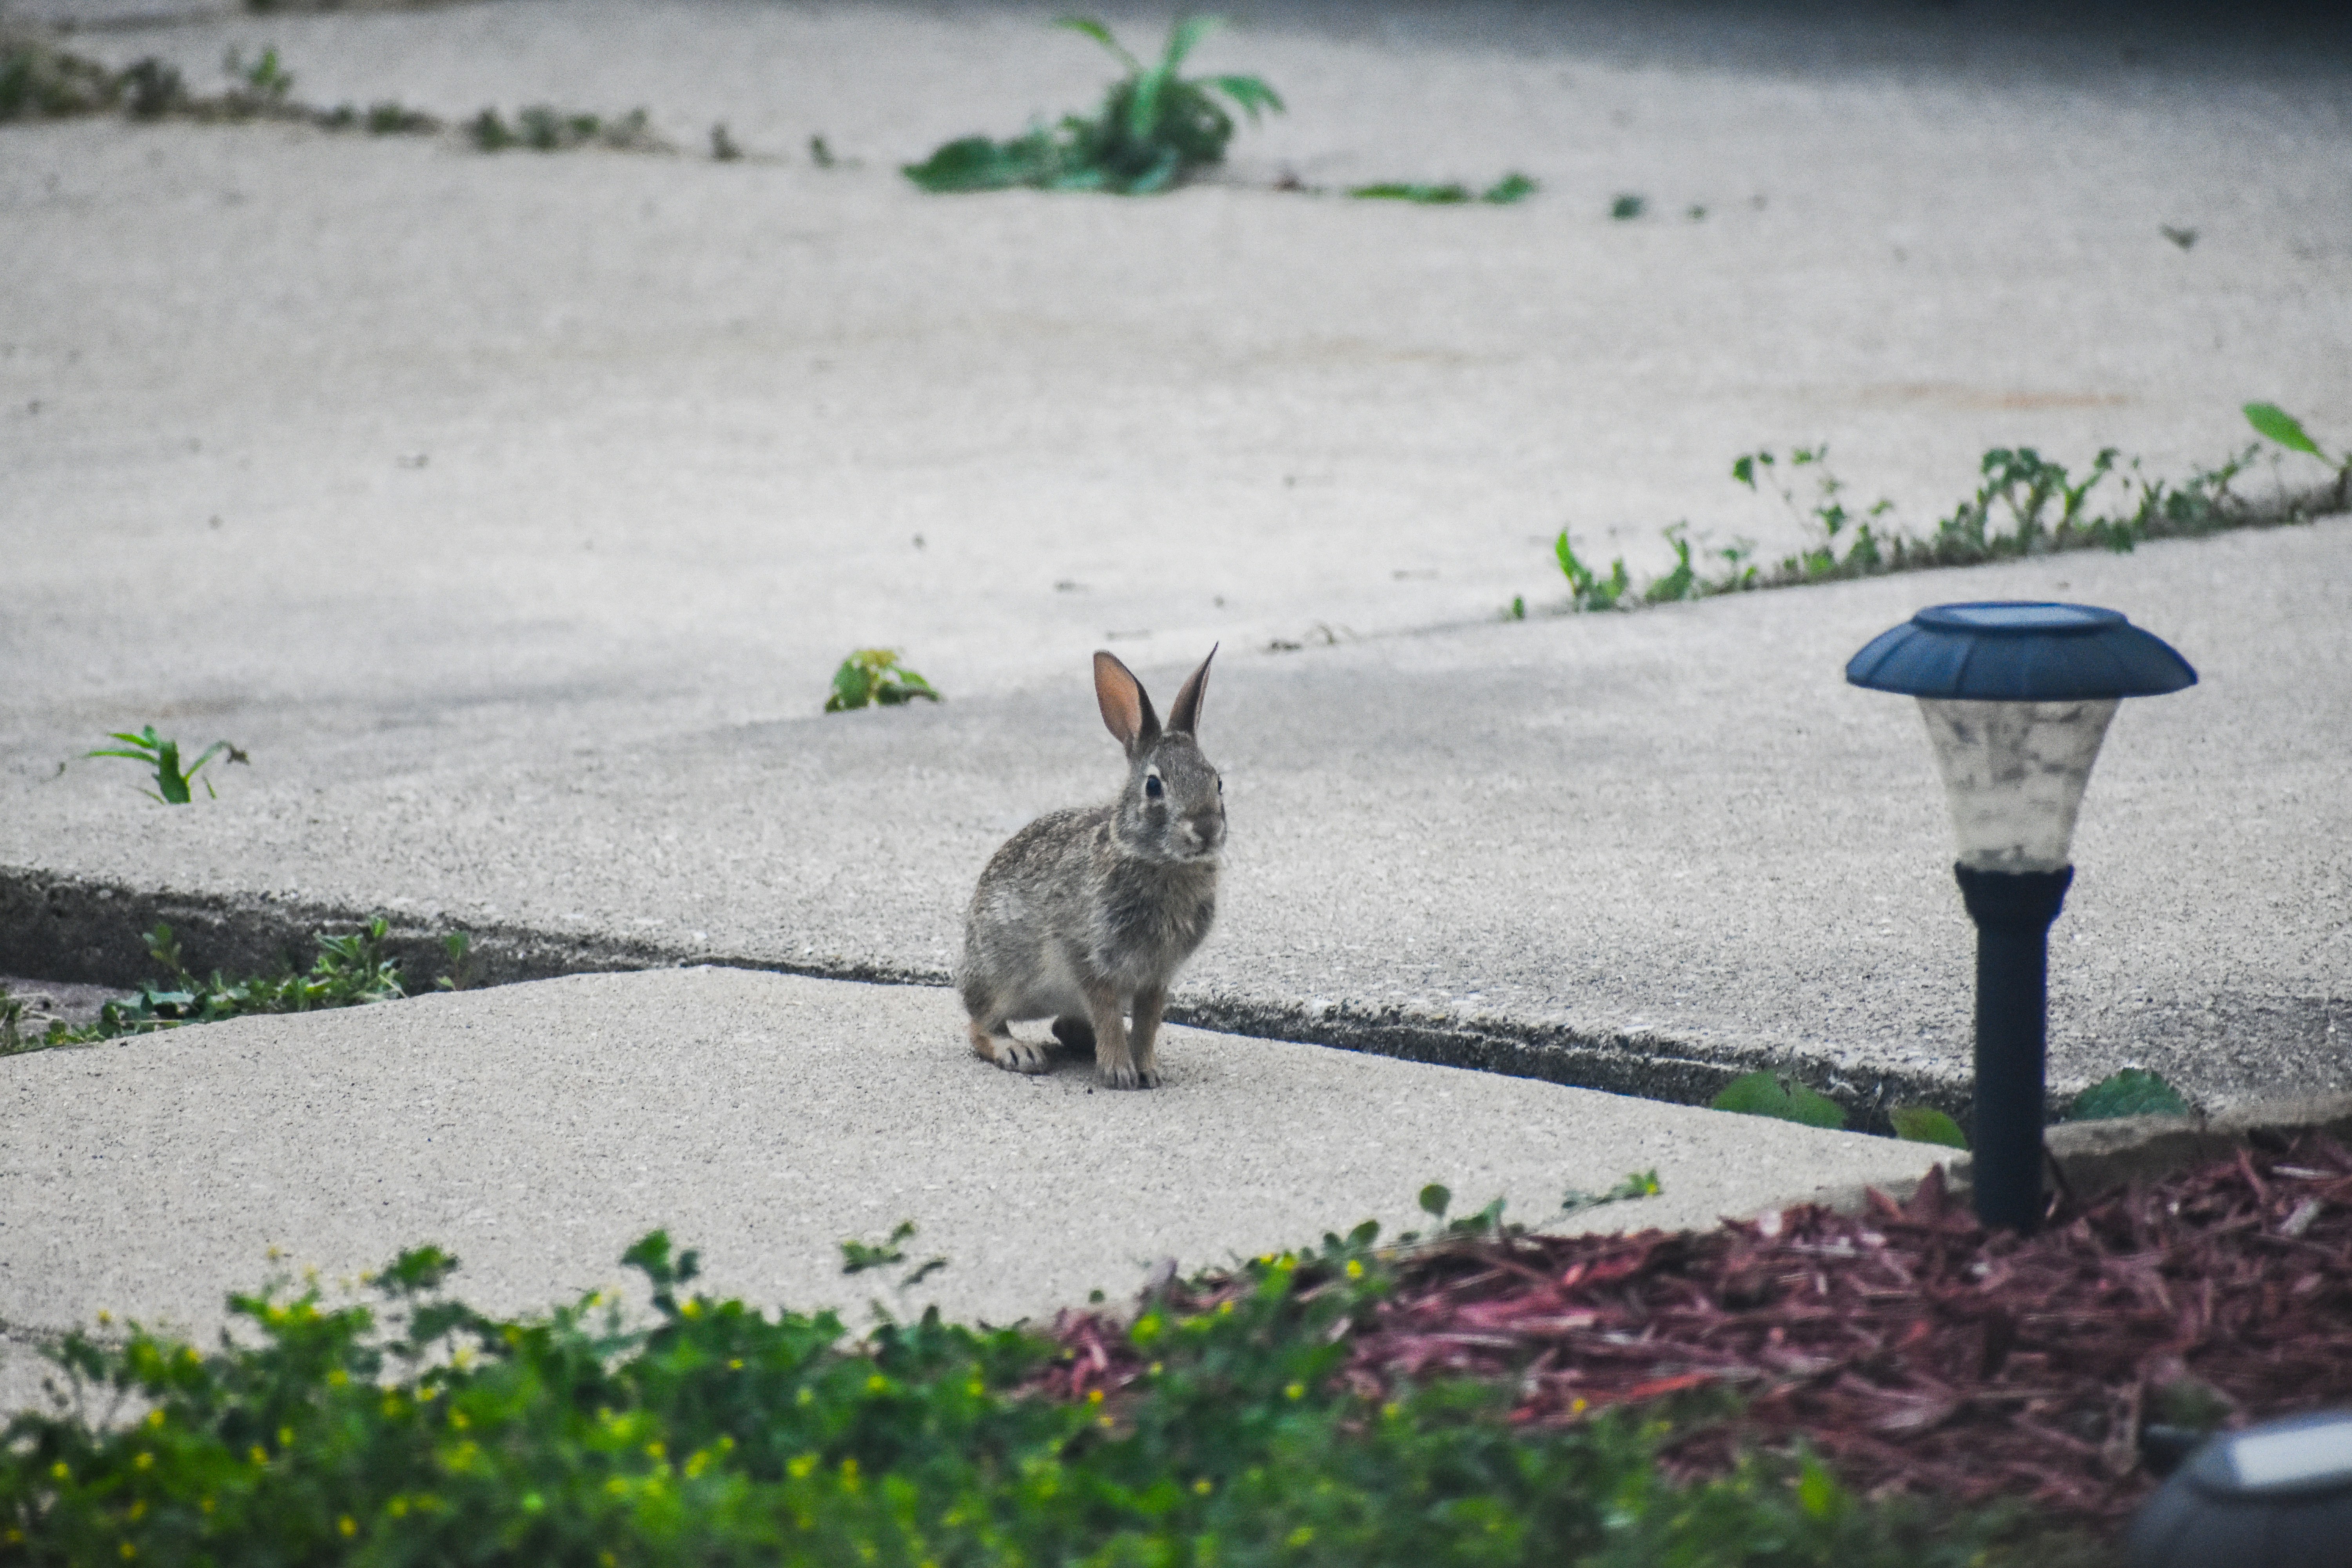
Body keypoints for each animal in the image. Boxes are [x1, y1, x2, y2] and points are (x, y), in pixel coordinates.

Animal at [959, 647, 1225, 1089]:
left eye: (1217, 781)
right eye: (1154, 786)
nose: (1206, 829)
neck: (1158, 861)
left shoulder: (1156, 976)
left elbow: (1148, 1023)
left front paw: (1147, 1069)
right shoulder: (1088, 958)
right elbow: (1107, 1012)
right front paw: (1119, 1072)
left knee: (1065, 1027)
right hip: (1001, 978)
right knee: (980, 1025)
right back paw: (1019, 1051)